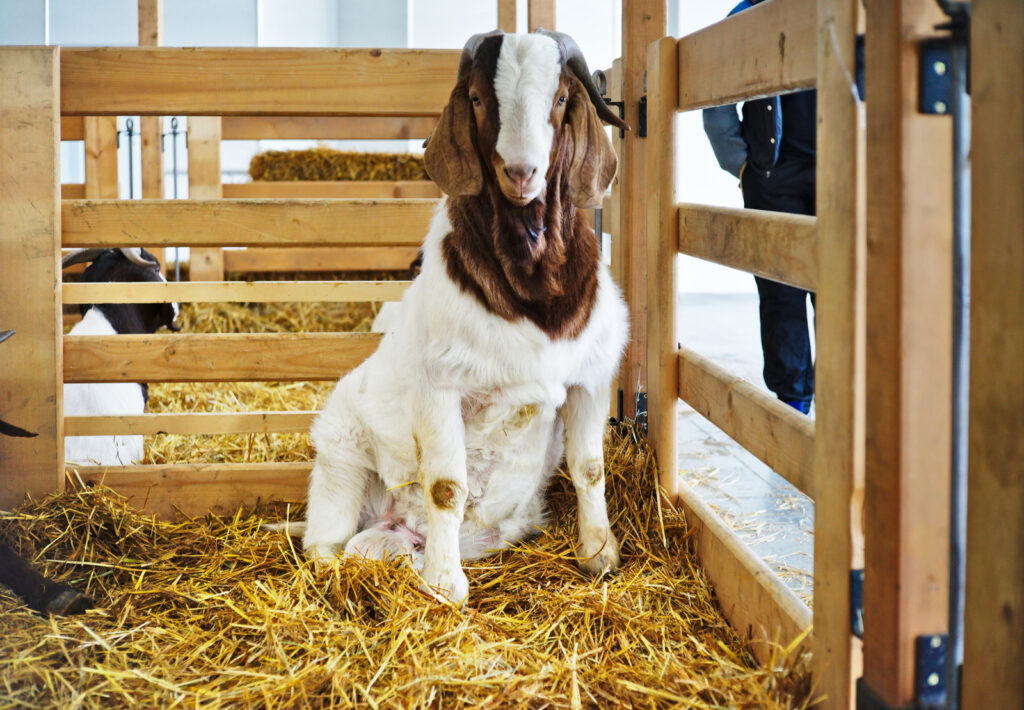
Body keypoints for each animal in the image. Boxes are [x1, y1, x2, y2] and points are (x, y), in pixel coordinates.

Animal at [299, 29, 626, 602]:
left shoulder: (589, 378)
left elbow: (589, 467)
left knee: (372, 548)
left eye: (560, 98)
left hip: (404, 537)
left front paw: (599, 555)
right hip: (340, 459)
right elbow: (446, 488)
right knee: (326, 542)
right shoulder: (441, 390)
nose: (521, 172)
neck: (531, 287)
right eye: (475, 98)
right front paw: (446, 585)